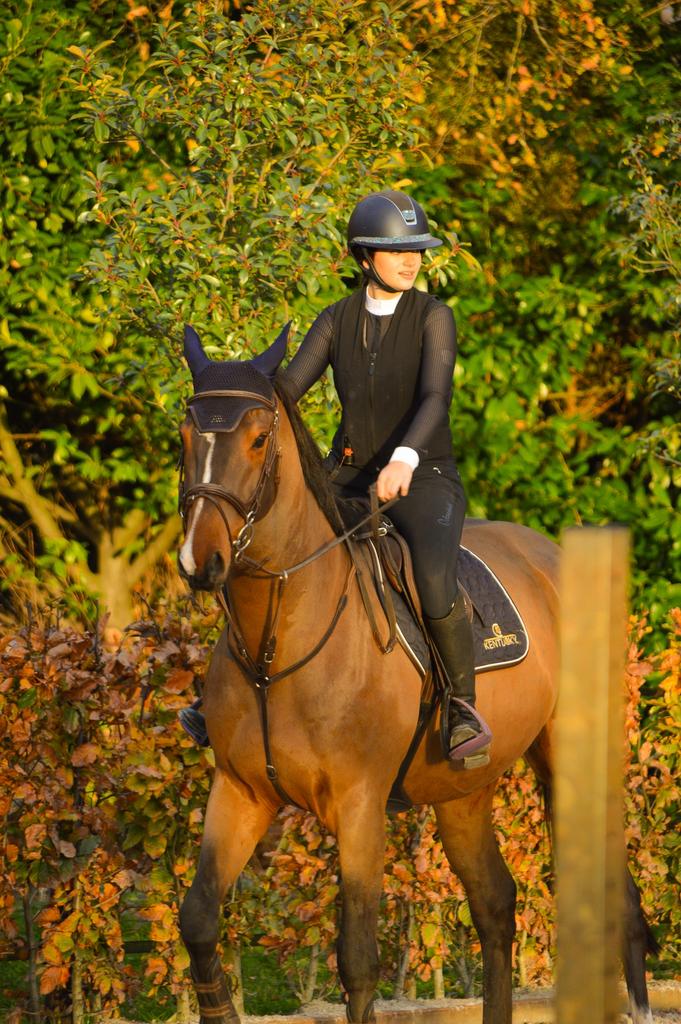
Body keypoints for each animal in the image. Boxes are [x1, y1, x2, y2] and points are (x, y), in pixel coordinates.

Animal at [175, 325, 656, 1024]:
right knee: (495, 905)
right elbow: (200, 923)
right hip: (463, 793)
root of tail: (553, 556)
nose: (200, 560)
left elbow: (357, 960)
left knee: (617, 903)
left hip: (573, 761)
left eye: (259, 439)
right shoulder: (240, 793)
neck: (276, 646)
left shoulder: (359, 805)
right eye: (186, 436)